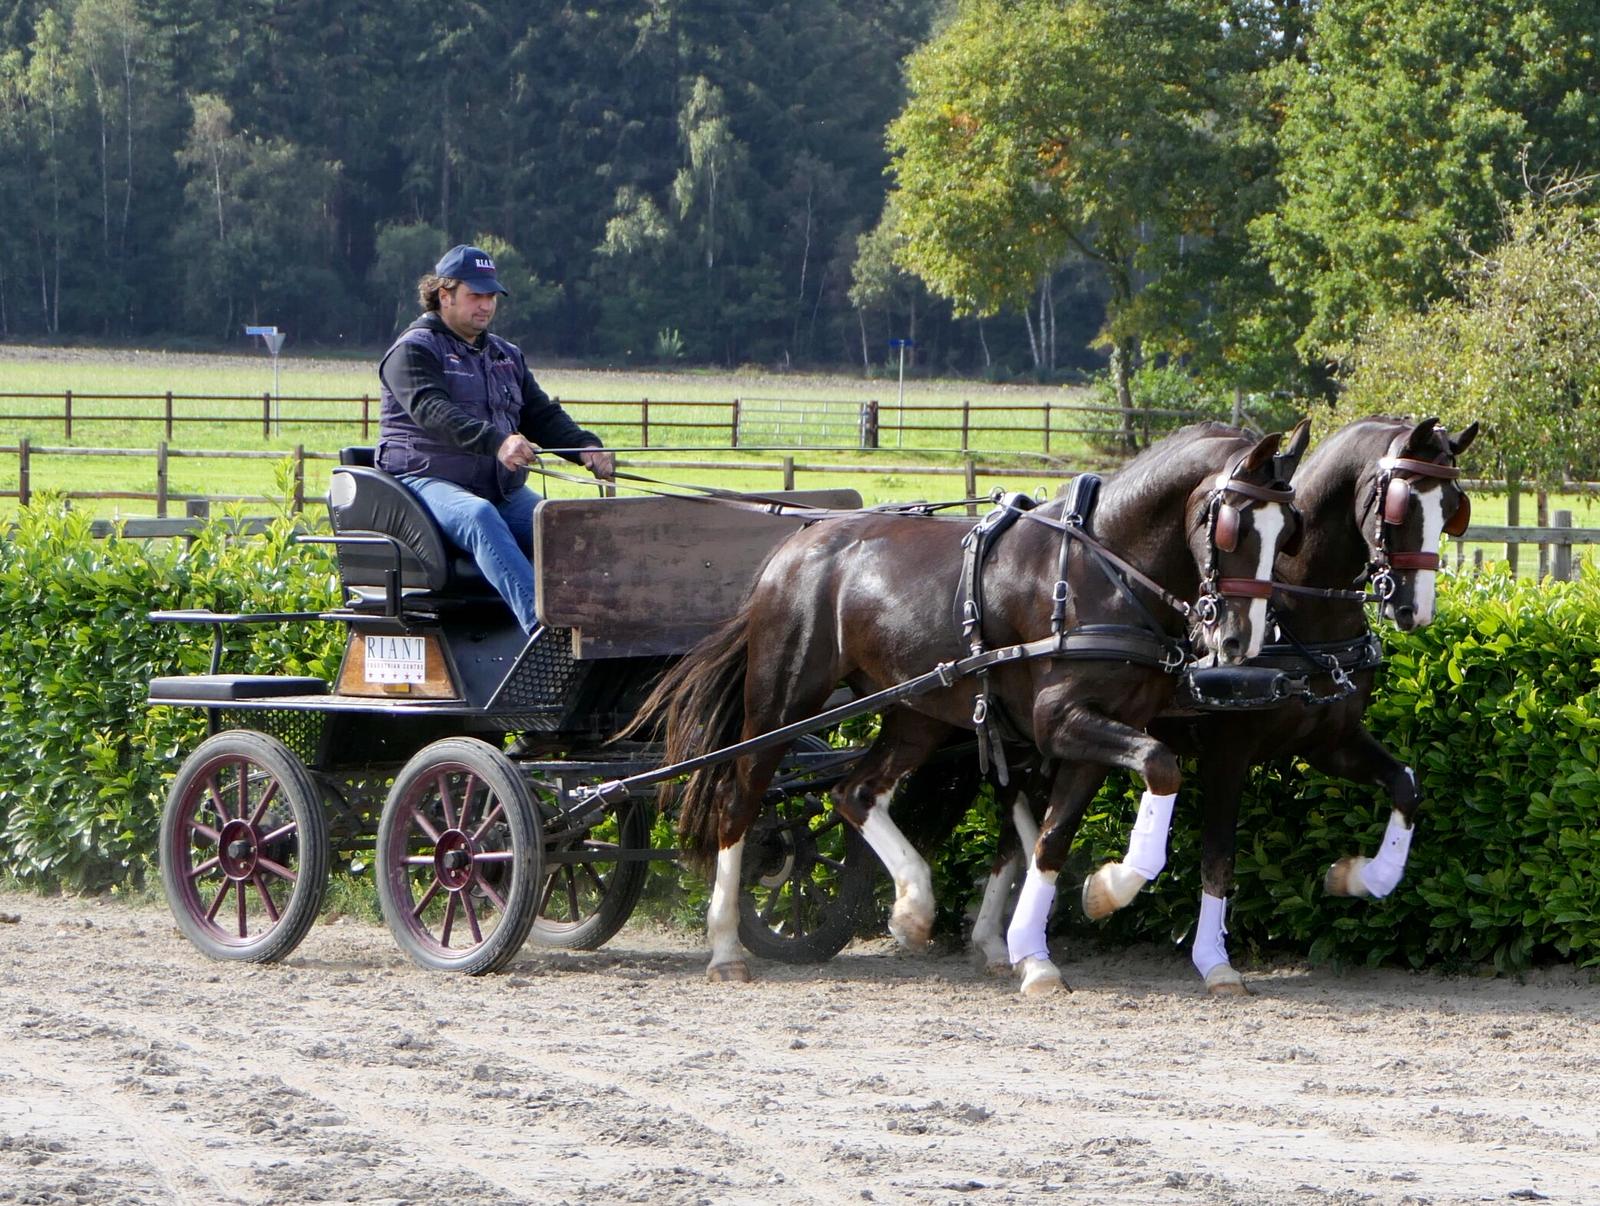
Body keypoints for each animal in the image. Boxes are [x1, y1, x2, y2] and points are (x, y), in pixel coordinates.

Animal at [630, 419, 1305, 978]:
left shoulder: (1102, 727)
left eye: (1288, 535)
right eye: (1233, 524)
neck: (1102, 573)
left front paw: (1046, 941)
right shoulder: (1059, 721)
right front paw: (1095, 899)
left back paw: (913, 906)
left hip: (917, 714)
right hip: (783, 703)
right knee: (738, 798)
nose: (1241, 639)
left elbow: (1053, 834)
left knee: (854, 792)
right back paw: (725, 947)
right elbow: (1157, 768)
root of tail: (795, 544)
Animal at [960, 412, 1472, 985]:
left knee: (1017, 824)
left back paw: (995, 940)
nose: (1414, 609)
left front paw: (1361, 877)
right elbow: (1219, 856)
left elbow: (1405, 785)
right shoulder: (1228, 753)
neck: (1296, 611)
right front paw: (1212, 959)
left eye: (1453, 506)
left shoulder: (1329, 741)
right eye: (1403, 502)